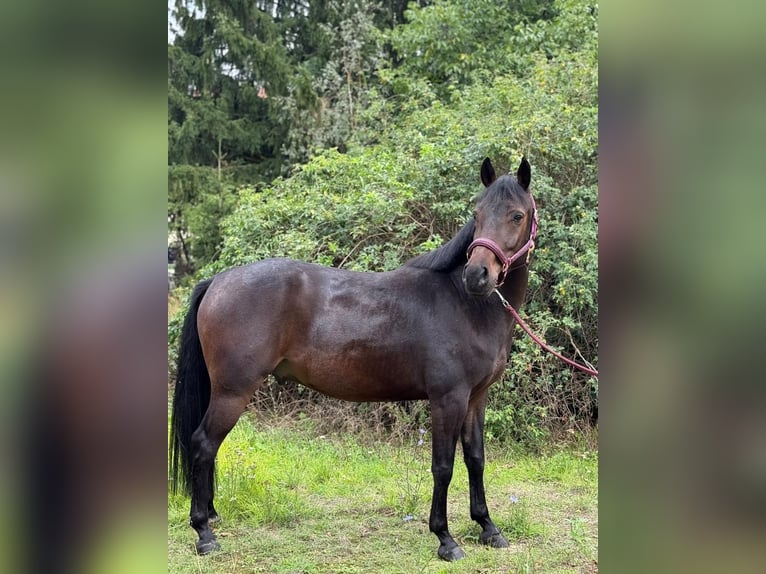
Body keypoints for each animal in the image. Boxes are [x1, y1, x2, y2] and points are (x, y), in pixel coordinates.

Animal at [170, 157, 537, 561]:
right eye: (477, 213)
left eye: (517, 215)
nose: (477, 275)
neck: (465, 304)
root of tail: (217, 281)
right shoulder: (448, 399)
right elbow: (443, 466)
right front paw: (445, 538)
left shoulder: (475, 398)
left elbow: (476, 459)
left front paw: (488, 527)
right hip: (232, 392)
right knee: (203, 444)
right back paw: (204, 533)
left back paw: (210, 516)